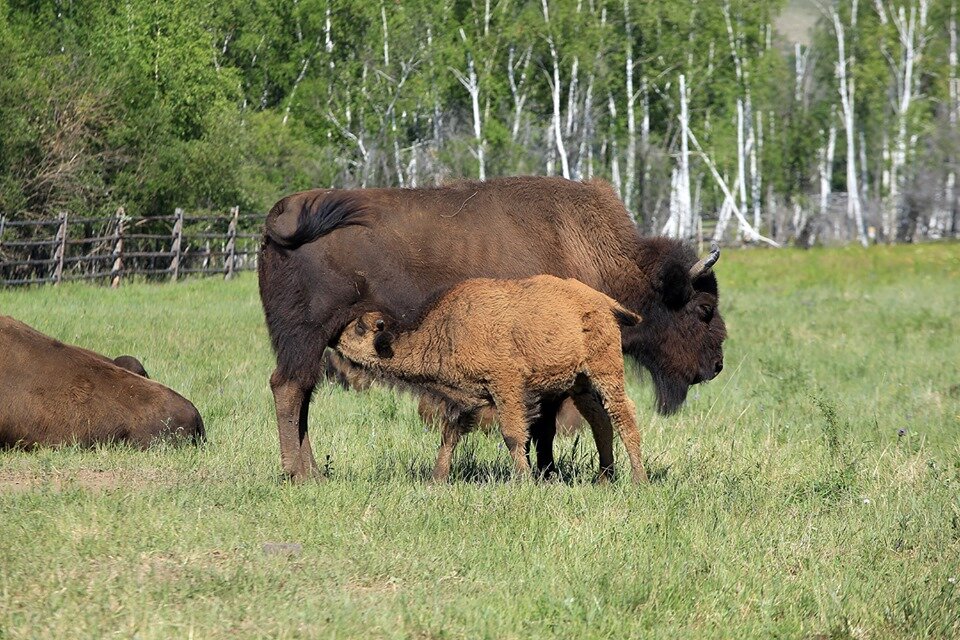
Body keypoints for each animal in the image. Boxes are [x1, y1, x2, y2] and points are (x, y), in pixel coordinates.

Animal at [338, 276, 644, 484]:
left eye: (359, 329)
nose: (336, 339)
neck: (448, 329)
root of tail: (602, 301)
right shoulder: (464, 401)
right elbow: (449, 436)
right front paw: (437, 479)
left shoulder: (505, 386)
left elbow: (512, 435)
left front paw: (523, 481)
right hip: (579, 384)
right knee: (600, 421)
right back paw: (605, 479)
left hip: (605, 372)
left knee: (623, 415)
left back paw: (637, 479)